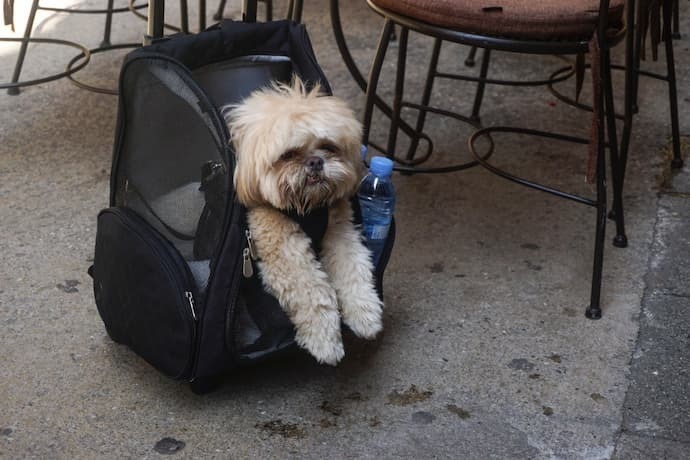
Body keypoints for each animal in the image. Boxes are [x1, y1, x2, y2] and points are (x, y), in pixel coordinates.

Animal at [224, 77, 382, 364]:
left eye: (329, 147)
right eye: (288, 155)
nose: (315, 161)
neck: (306, 208)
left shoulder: (341, 234)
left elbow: (354, 269)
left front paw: (365, 314)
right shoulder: (286, 252)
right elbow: (312, 292)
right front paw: (325, 341)